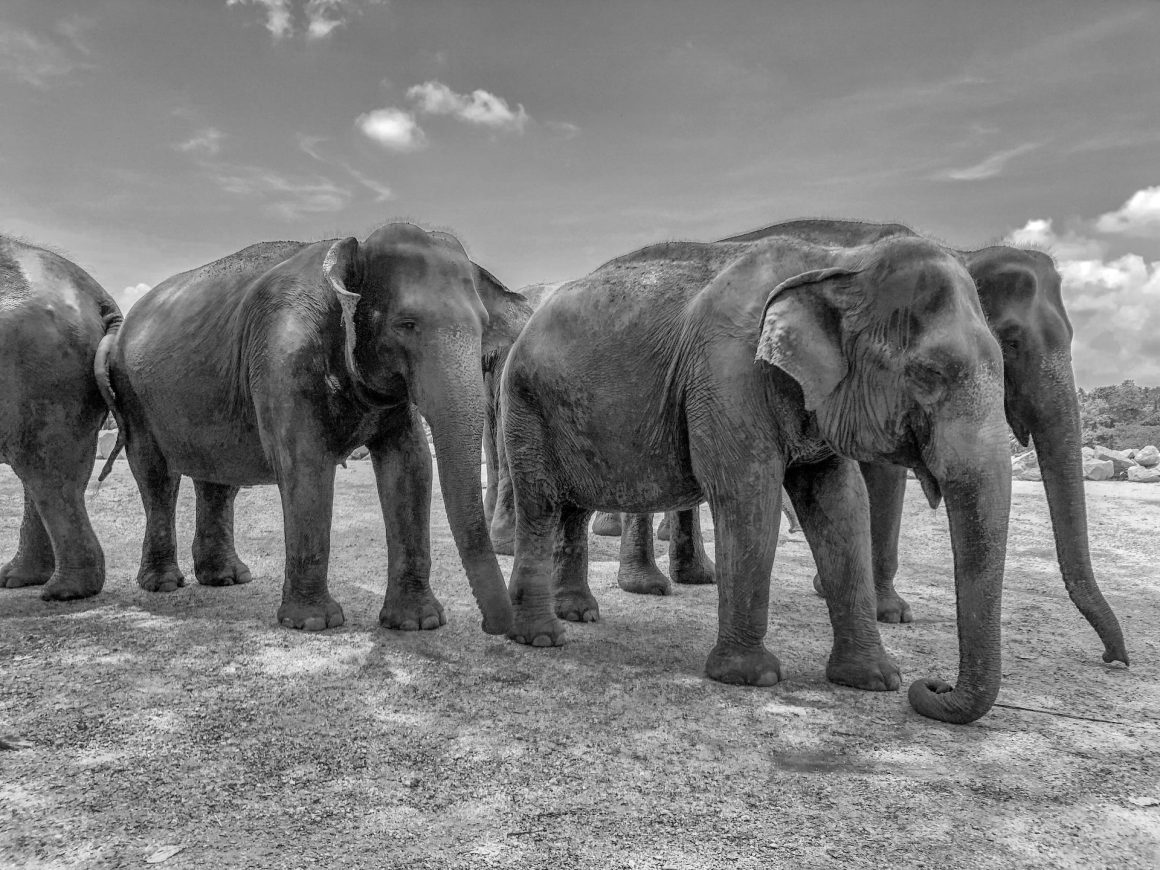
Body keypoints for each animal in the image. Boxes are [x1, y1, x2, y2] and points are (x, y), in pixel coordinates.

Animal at [0, 235, 122, 600]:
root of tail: (99, 298)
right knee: (44, 473)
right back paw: (18, 579)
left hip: (45, 374)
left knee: (49, 477)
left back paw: (63, 591)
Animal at [97, 223, 516, 634]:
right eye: (407, 325)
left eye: (483, 327)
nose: (497, 628)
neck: (352, 250)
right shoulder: (284, 355)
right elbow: (306, 465)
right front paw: (314, 622)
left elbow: (410, 465)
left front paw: (418, 623)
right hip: (133, 395)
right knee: (156, 476)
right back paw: (165, 584)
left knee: (218, 480)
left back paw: (227, 579)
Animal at [501, 233, 1014, 724]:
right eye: (929, 374)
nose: (934, 686)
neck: (840, 262)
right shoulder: (729, 376)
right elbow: (747, 497)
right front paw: (751, 677)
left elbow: (842, 506)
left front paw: (876, 680)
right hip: (525, 406)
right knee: (541, 505)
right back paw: (543, 637)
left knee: (573, 508)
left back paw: (579, 613)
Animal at [604, 218, 1128, 669]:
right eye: (1014, 343)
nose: (1112, 660)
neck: (959, 248)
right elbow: (881, 477)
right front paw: (889, 612)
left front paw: (877, 607)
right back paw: (648, 586)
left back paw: (697, 577)